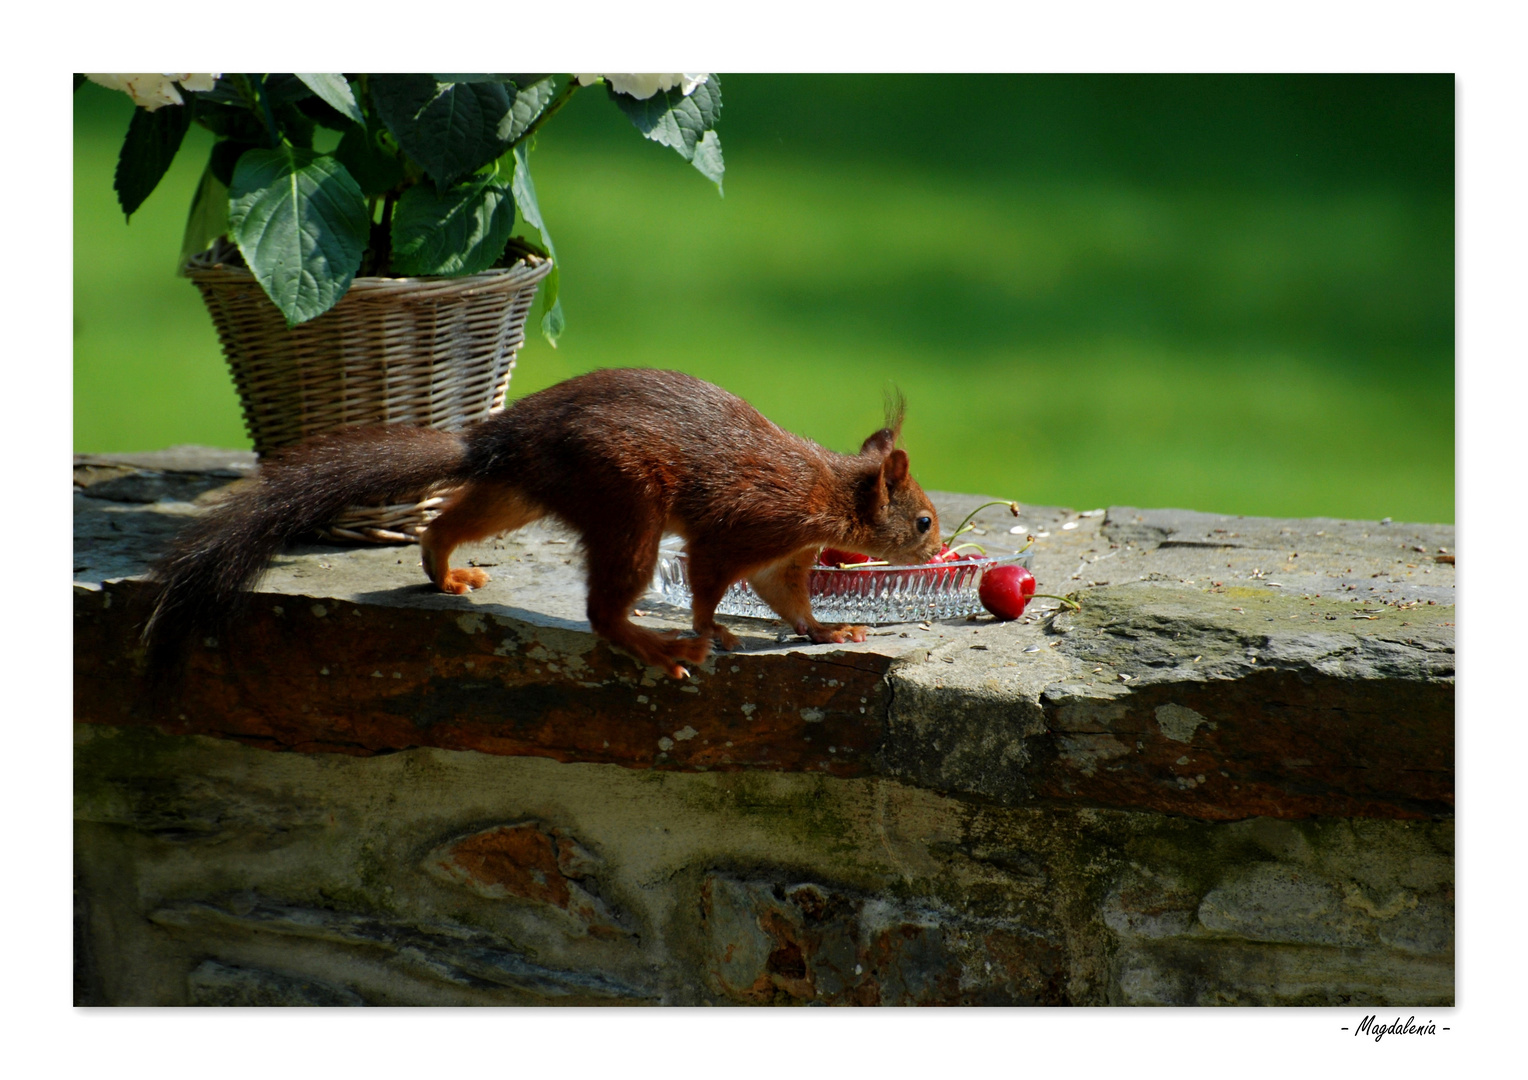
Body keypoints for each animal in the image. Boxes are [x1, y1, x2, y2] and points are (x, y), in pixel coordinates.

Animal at [152, 369, 941, 675]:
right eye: (926, 522)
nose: (937, 554)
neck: (828, 494)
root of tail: (503, 438)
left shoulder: (784, 558)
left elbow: (790, 602)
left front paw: (830, 632)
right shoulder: (747, 528)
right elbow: (710, 582)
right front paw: (712, 631)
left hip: (523, 495)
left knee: (449, 523)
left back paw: (445, 570)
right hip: (627, 505)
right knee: (602, 611)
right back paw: (656, 647)